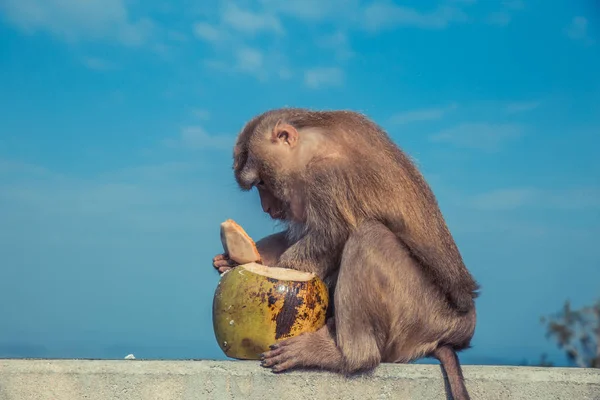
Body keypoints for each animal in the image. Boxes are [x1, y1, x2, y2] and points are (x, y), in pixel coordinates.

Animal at [213, 108, 480, 398]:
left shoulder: (326, 177)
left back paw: (343, 355)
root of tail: (454, 334)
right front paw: (235, 259)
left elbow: (328, 239)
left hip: (423, 318)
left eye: (262, 182)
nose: (267, 208)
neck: (313, 145)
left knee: (369, 238)